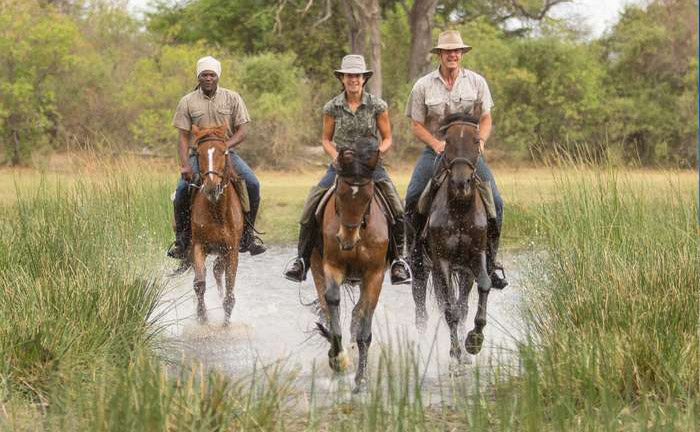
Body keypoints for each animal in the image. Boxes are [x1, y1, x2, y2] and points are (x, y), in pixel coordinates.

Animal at [190, 125, 245, 324]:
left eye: (224, 151)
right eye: (198, 153)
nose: (212, 188)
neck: (217, 212)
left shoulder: (232, 249)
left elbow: (230, 294)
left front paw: (226, 324)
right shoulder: (198, 245)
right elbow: (199, 284)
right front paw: (202, 316)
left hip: (223, 252)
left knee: (217, 271)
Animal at [312, 139, 388, 394]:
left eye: (367, 196)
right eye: (340, 193)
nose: (346, 240)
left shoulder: (375, 275)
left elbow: (365, 328)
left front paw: (361, 381)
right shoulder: (332, 266)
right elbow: (332, 303)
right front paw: (339, 359)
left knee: (359, 312)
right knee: (327, 307)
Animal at [410, 112, 492, 368]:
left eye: (476, 140)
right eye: (447, 141)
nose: (461, 183)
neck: (460, 208)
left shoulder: (476, 256)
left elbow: (483, 287)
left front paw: (473, 342)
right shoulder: (442, 262)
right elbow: (450, 310)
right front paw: (456, 354)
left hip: (462, 271)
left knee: (462, 304)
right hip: (423, 269)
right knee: (423, 311)